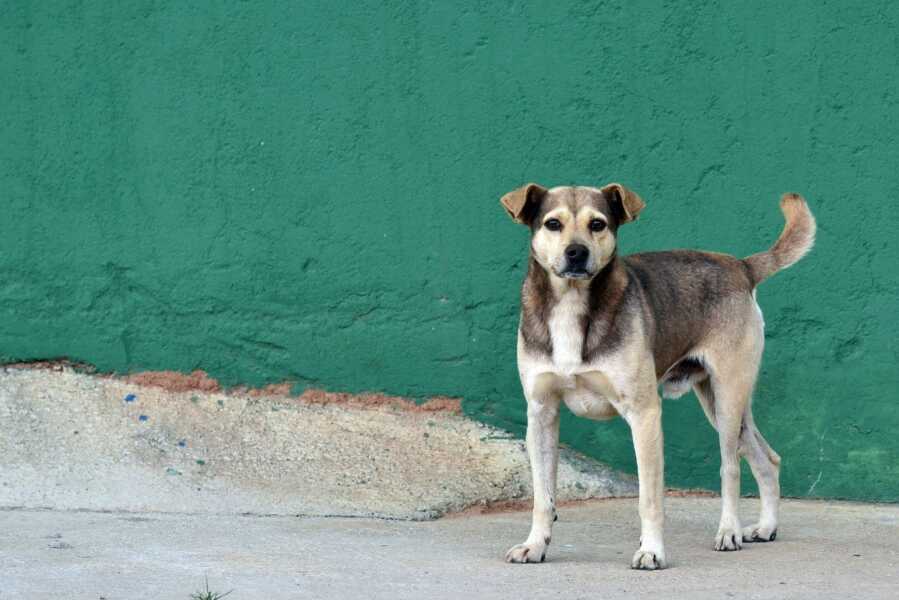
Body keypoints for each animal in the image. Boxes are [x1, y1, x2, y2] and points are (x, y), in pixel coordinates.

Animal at [500, 183, 816, 568]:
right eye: (552, 224)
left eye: (597, 224)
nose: (576, 253)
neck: (572, 305)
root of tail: (740, 266)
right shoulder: (541, 413)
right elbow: (542, 497)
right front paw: (535, 544)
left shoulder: (644, 413)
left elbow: (649, 499)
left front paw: (651, 550)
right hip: (720, 401)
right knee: (767, 459)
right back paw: (767, 526)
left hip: (728, 396)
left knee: (731, 468)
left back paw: (729, 531)